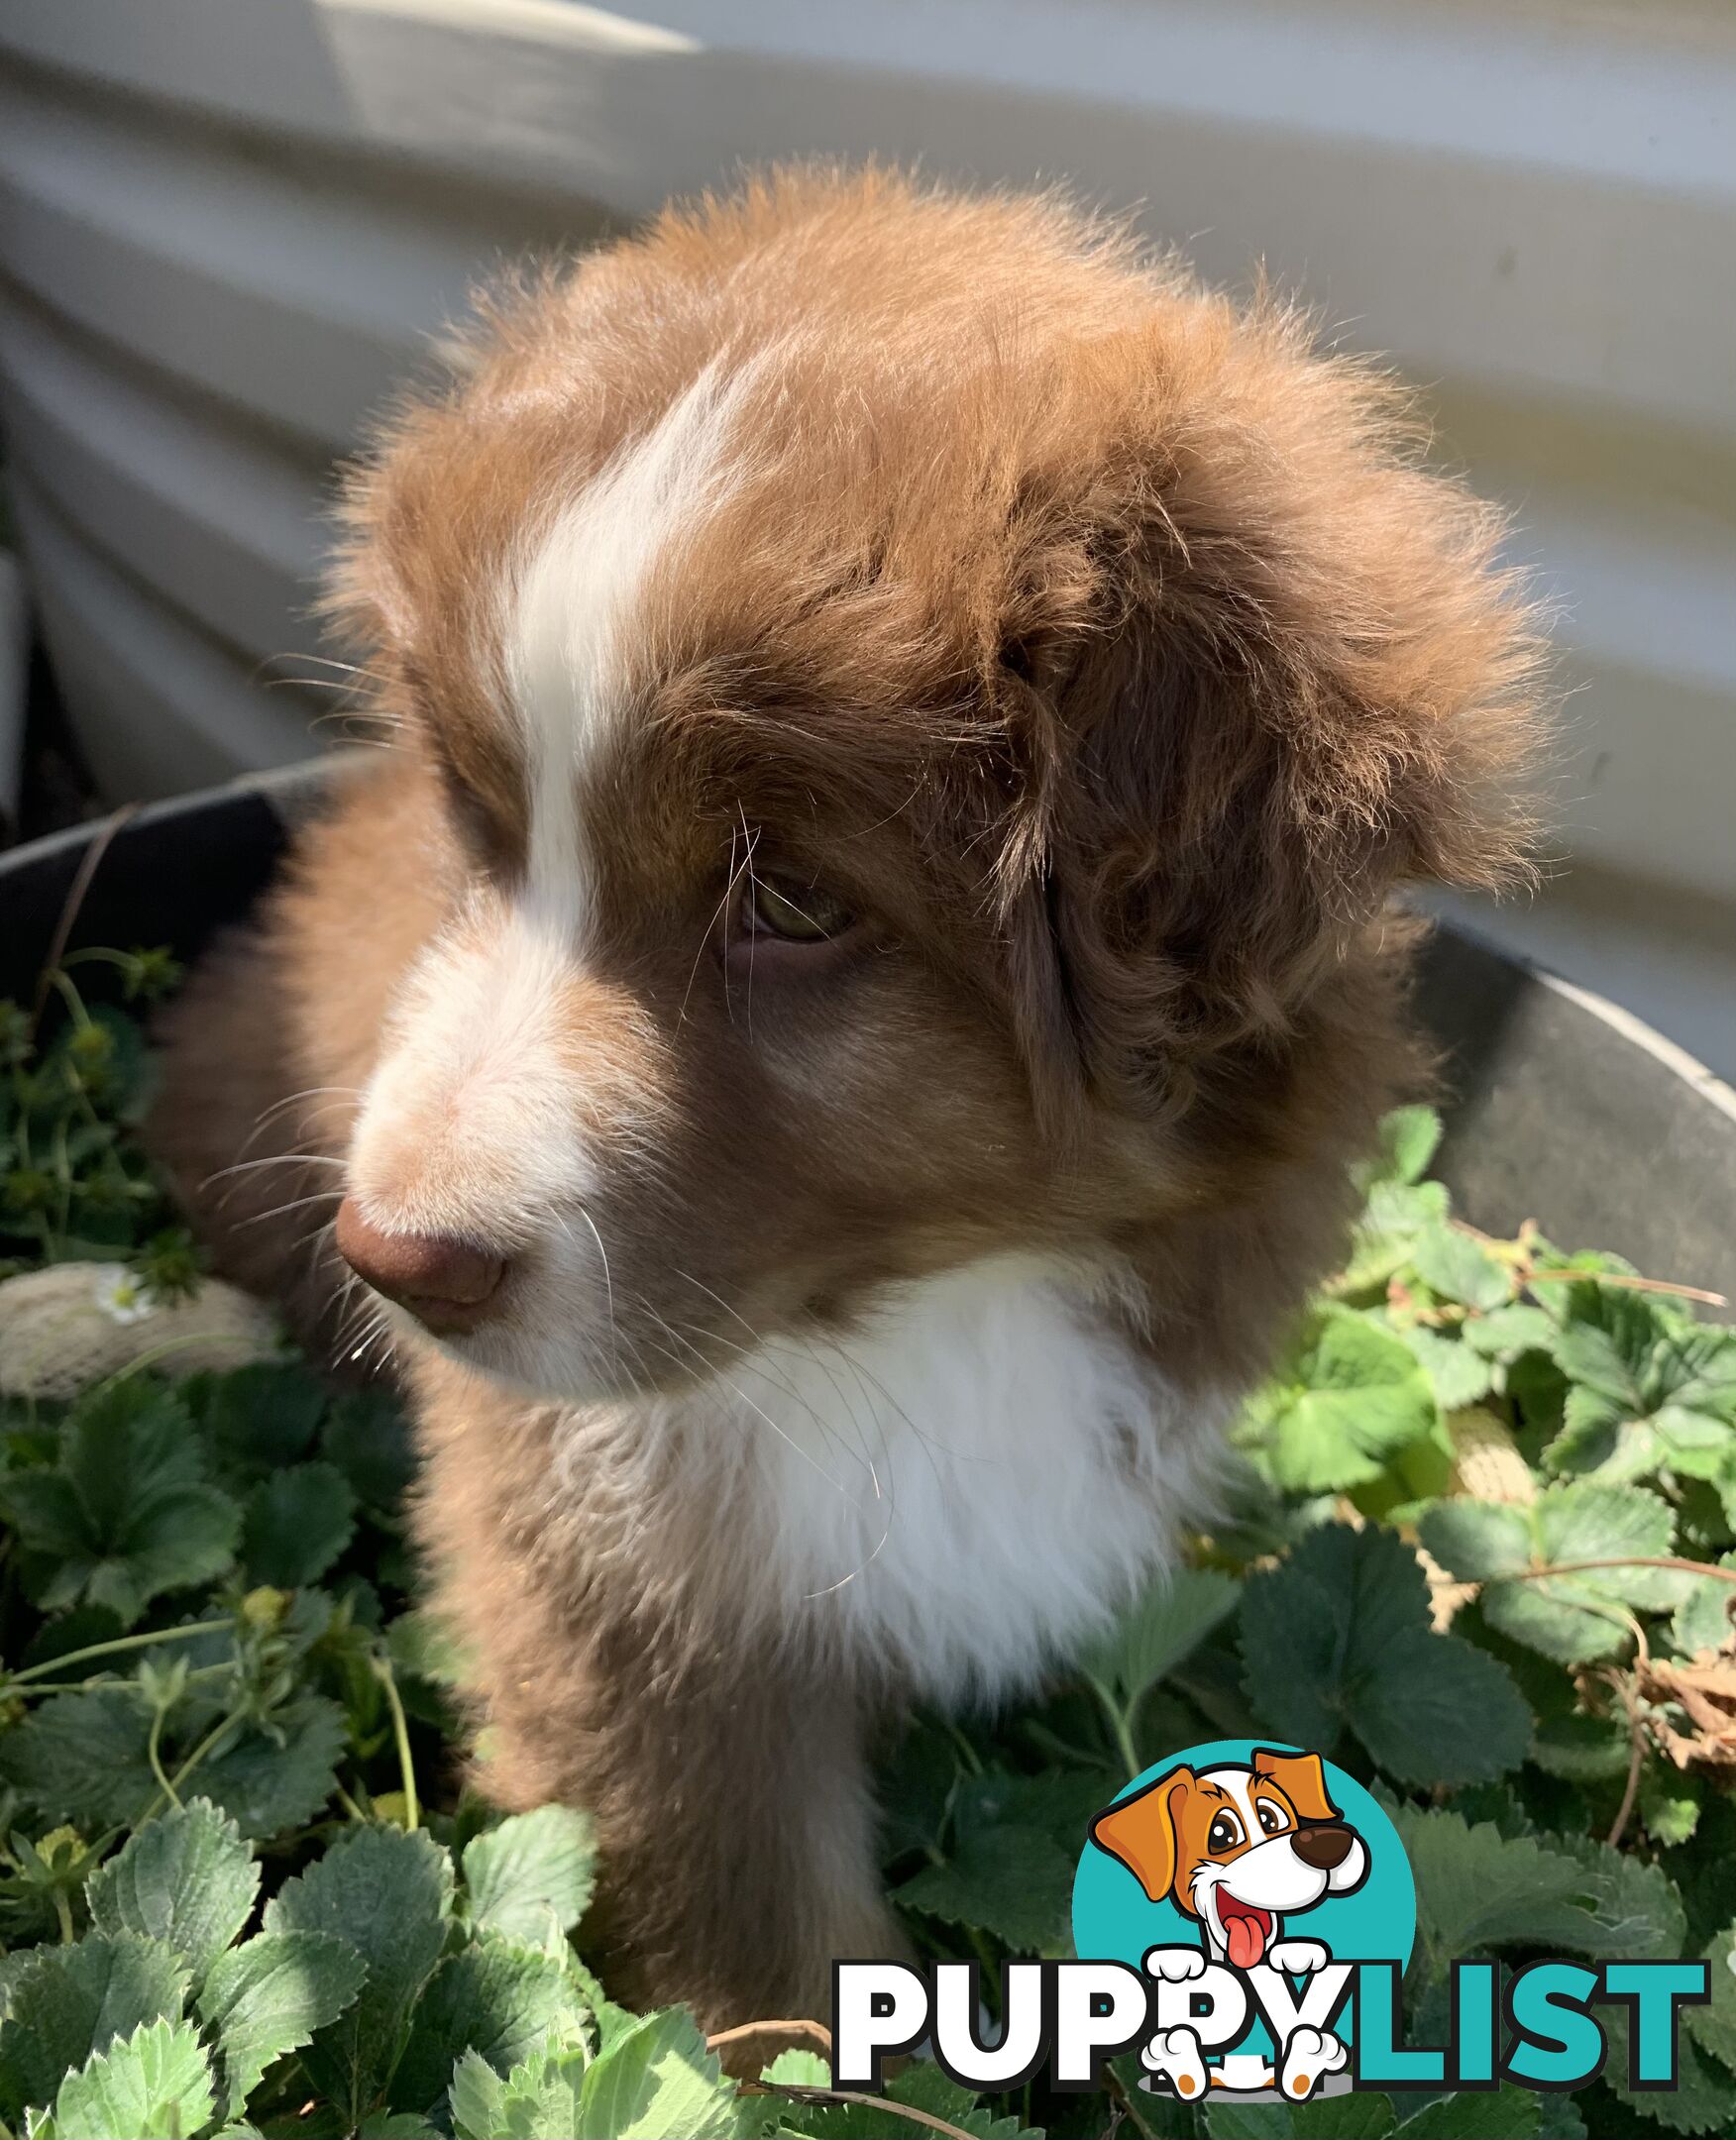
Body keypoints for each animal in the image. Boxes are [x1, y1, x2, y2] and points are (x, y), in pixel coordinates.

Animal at [142, 170, 1541, 2037]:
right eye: (487, 829)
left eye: (793, 901)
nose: (392, 1260)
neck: (928, 1312)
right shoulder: (613, 1586)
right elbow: (763, 1945)